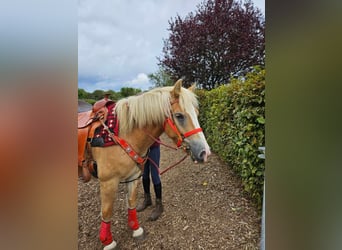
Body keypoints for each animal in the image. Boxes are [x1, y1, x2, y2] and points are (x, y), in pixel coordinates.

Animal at [89, 79, 211, 249]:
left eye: (197, 113)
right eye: (179, 116)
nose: (205, 152)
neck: (122, 134)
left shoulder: (133, 176)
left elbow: (131, 202)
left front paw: (136, 230)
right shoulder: (108, 182)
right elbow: (106, 212)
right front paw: (108, 242)